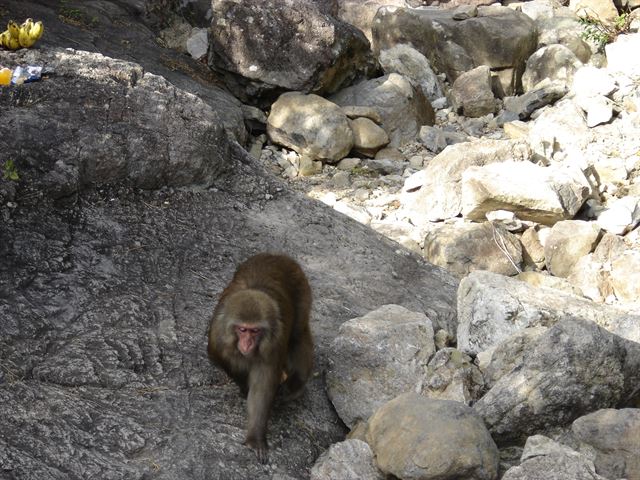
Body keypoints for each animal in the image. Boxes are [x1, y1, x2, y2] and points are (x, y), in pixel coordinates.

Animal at [206, 253, 314, 464]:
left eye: (255, 331)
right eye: (242, 329)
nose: (247, 344)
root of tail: (278, 255)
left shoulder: (273, 343)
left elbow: (263, 388)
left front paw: (255, 438)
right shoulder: (217, 338)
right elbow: (224, 362)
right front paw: (243, 384)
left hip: (302, 291)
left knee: (298, 334)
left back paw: (295, 385)